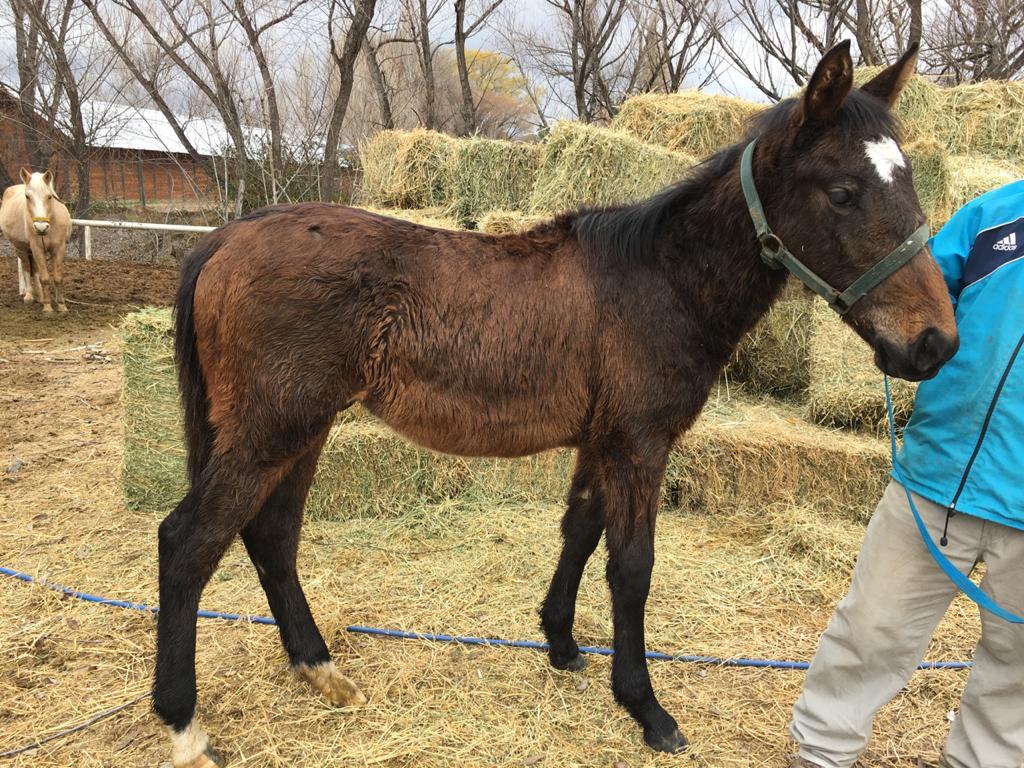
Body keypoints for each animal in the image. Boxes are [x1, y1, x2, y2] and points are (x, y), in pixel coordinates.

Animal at [155, 43, 954, 768]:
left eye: (908, 179)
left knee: (272, 537)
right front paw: (646, 708)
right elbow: (631, 568)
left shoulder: (603, 441)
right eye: (843, 191)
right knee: (188, 543)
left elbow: (579, 533)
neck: (659, 279)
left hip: (302, 430)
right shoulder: (639, 444)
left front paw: (562, 643)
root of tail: (224, 238)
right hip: (273, 429)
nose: (933, 343)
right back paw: (185, 727)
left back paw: (319, 669)